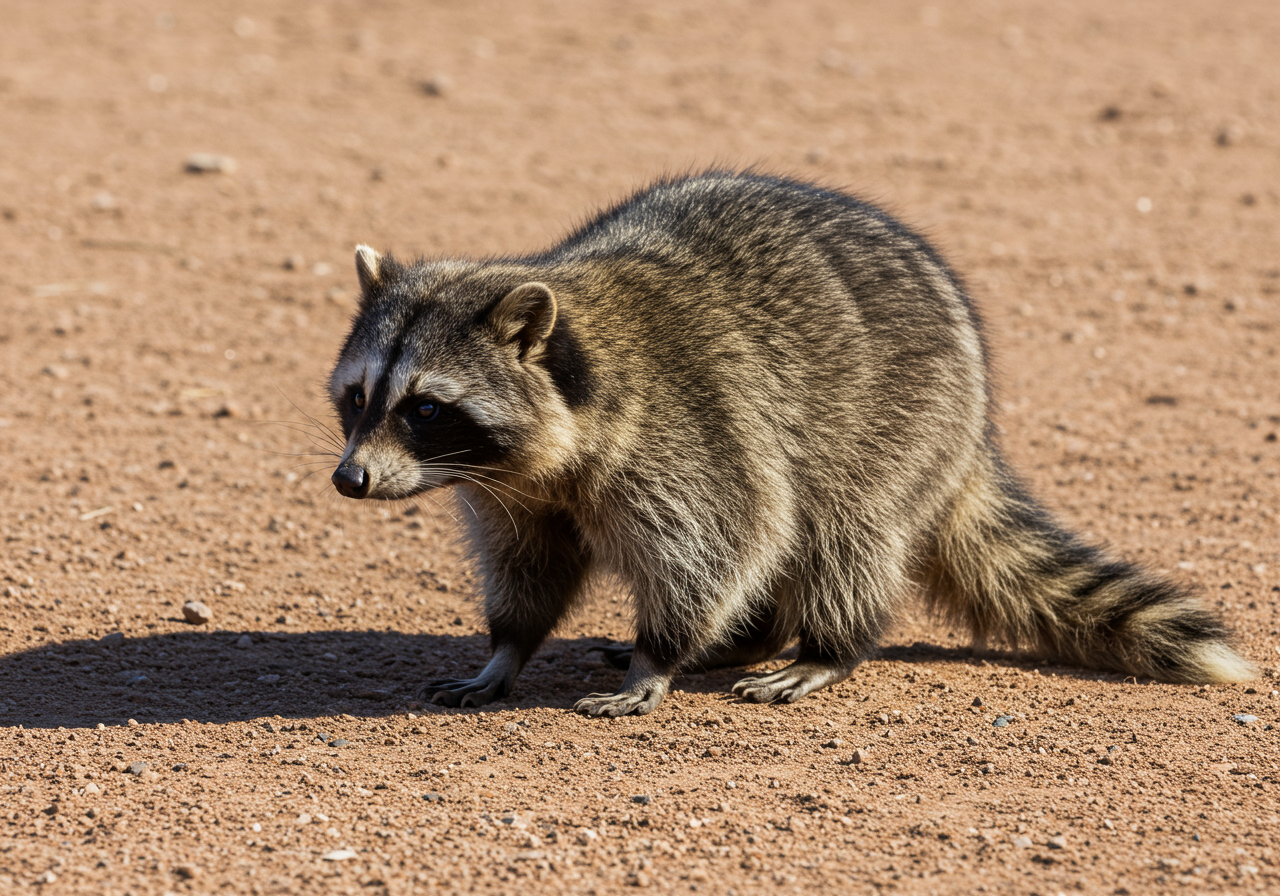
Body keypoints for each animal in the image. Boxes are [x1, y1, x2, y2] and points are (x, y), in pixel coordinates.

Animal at [328, 171, 1253, 716]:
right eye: (360, 396)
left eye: (426, 408)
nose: (349, 480)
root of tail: (975, 430)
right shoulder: (517, 496)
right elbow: (530, 566)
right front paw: (507, 648)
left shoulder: (686, 439)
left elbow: (719, 541)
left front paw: (656, 660)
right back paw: (752, 636)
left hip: (901, 422)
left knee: (843, 533)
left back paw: (821, 648)